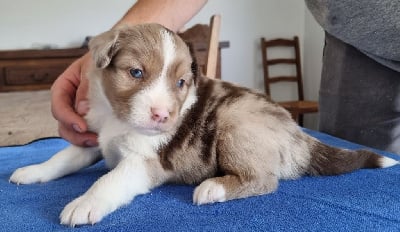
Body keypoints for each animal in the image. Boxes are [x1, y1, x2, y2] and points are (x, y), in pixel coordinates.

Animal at [9, 24, 396, 227]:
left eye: (181, 83)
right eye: (136, 73)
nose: (162, 116)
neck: (117, 120)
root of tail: (299, 136)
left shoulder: (145, 161)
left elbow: (110, 180)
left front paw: (85, 204)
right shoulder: (91, 137)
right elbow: (62, 158)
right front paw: (32, 171)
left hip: (235, 125)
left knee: (265, 180)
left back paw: (214, 188)